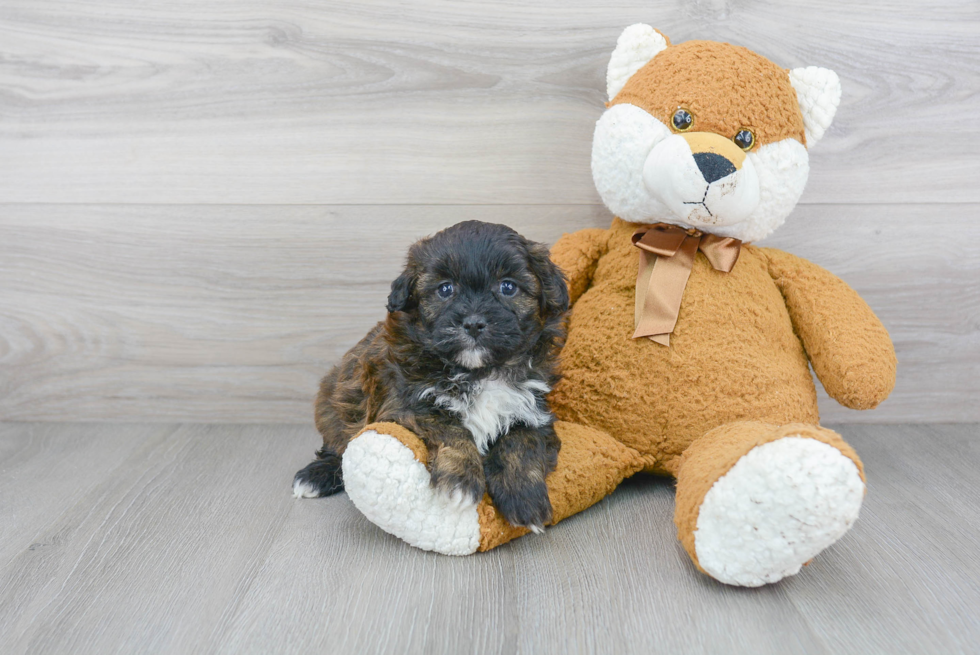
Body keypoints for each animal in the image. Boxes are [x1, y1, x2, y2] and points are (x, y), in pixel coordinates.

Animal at [290, 220, 568, 532]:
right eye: (445, 289)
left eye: (508, 286)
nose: (473, 323)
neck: (478, 372)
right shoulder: (405, 405)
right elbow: (451, 429)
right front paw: (460, 480)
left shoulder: (533, 409)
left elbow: (521, 442)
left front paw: (524, 497)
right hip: (337, 404)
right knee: (337, 445)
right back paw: (315, 476)